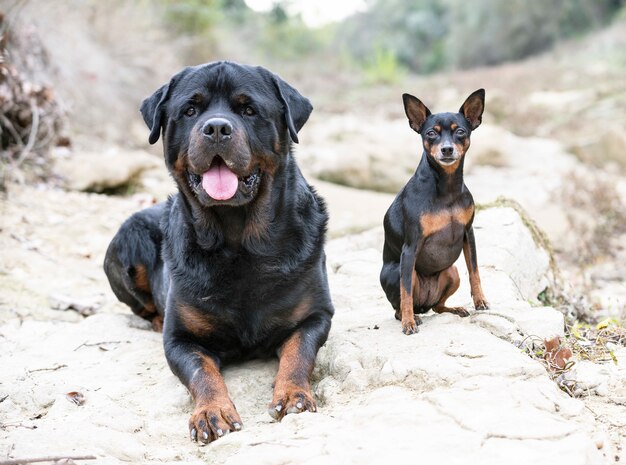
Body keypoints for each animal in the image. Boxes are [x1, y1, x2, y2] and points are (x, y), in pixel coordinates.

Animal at [105, 61, 334, 442]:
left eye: (248, 109)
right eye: (190, 110)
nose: (215, 128)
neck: (238, 242)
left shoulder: (316, 316)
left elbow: (299, 352)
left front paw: (293, 395)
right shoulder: (180, 340)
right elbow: (202, 371)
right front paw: (212, 412)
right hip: (126, 241)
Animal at [378, 89, 490, 334]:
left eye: (460, 131)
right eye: (430, 133)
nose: (447, 149)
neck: (446, 187)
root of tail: (424, 305)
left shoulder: (469, 234)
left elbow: (475, 271)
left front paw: (480, 301)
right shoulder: (410, 247)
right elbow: (405, 293)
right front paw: (409, 324)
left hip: (452, 272)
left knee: (438, 306)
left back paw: (453, 309)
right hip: (397, 271)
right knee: (400, 305)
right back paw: (411, 317)